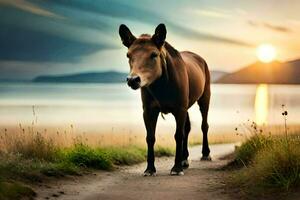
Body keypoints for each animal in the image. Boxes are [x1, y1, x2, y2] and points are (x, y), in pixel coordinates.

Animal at [118, 23, 210, 176]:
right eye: (128, 55)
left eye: (154, 54)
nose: (133, 80)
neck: (161, 86)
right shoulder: (149, 110)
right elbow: (150, 137)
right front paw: (150, 168)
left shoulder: (179, 108)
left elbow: (178, 135)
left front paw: (176, 168)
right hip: (187, 105)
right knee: (188, 127)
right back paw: (184, 159)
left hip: (204, 97)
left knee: (204, 125)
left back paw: (206, 153)